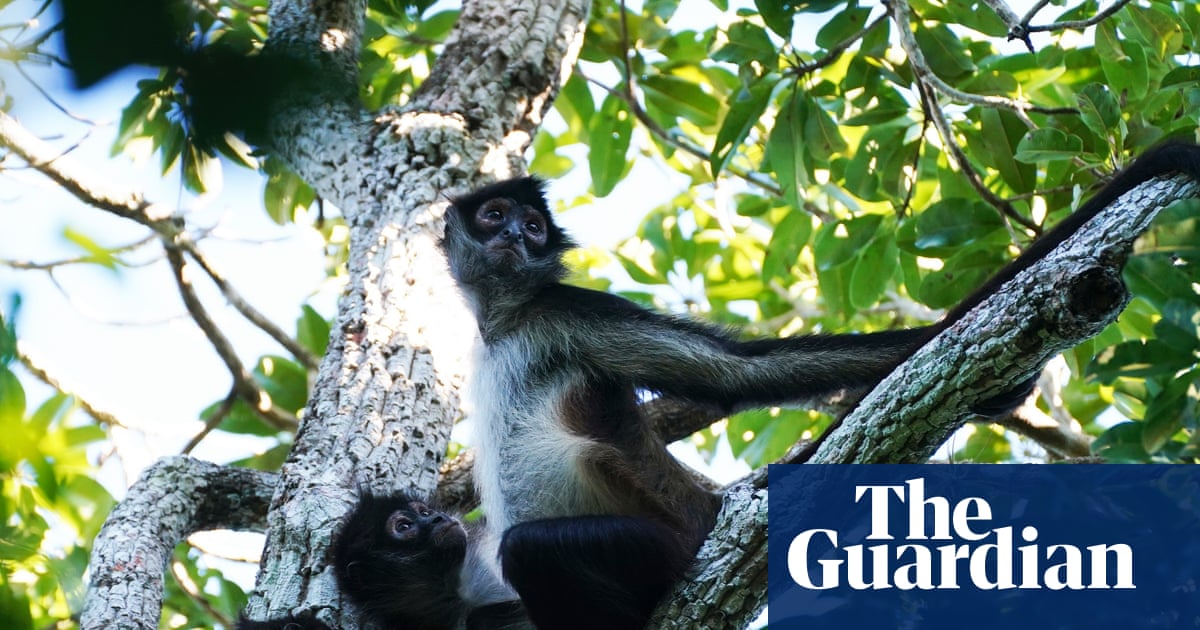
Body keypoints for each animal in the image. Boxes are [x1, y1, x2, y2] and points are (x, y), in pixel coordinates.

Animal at [440, 143, 1200, 629]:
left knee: (533, 548)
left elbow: (736, 373)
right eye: (495, 216)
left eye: (534, 227)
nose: (516, 237)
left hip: (666, 546)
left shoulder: (569, 313)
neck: (509, 320)